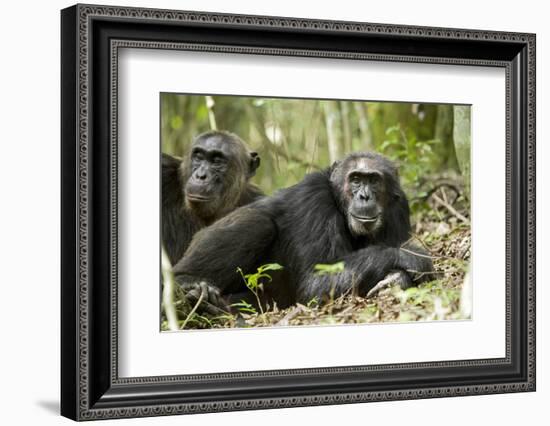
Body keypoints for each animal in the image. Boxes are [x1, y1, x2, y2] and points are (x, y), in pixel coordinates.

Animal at [174, 151, 436, 314]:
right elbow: (315, 281)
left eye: (373, 180)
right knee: (258, 222)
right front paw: (413, 257)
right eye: (355, 179)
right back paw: (190, 286)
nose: (364, 196)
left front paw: (397, 279)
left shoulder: (399, 207)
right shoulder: (313, 199)